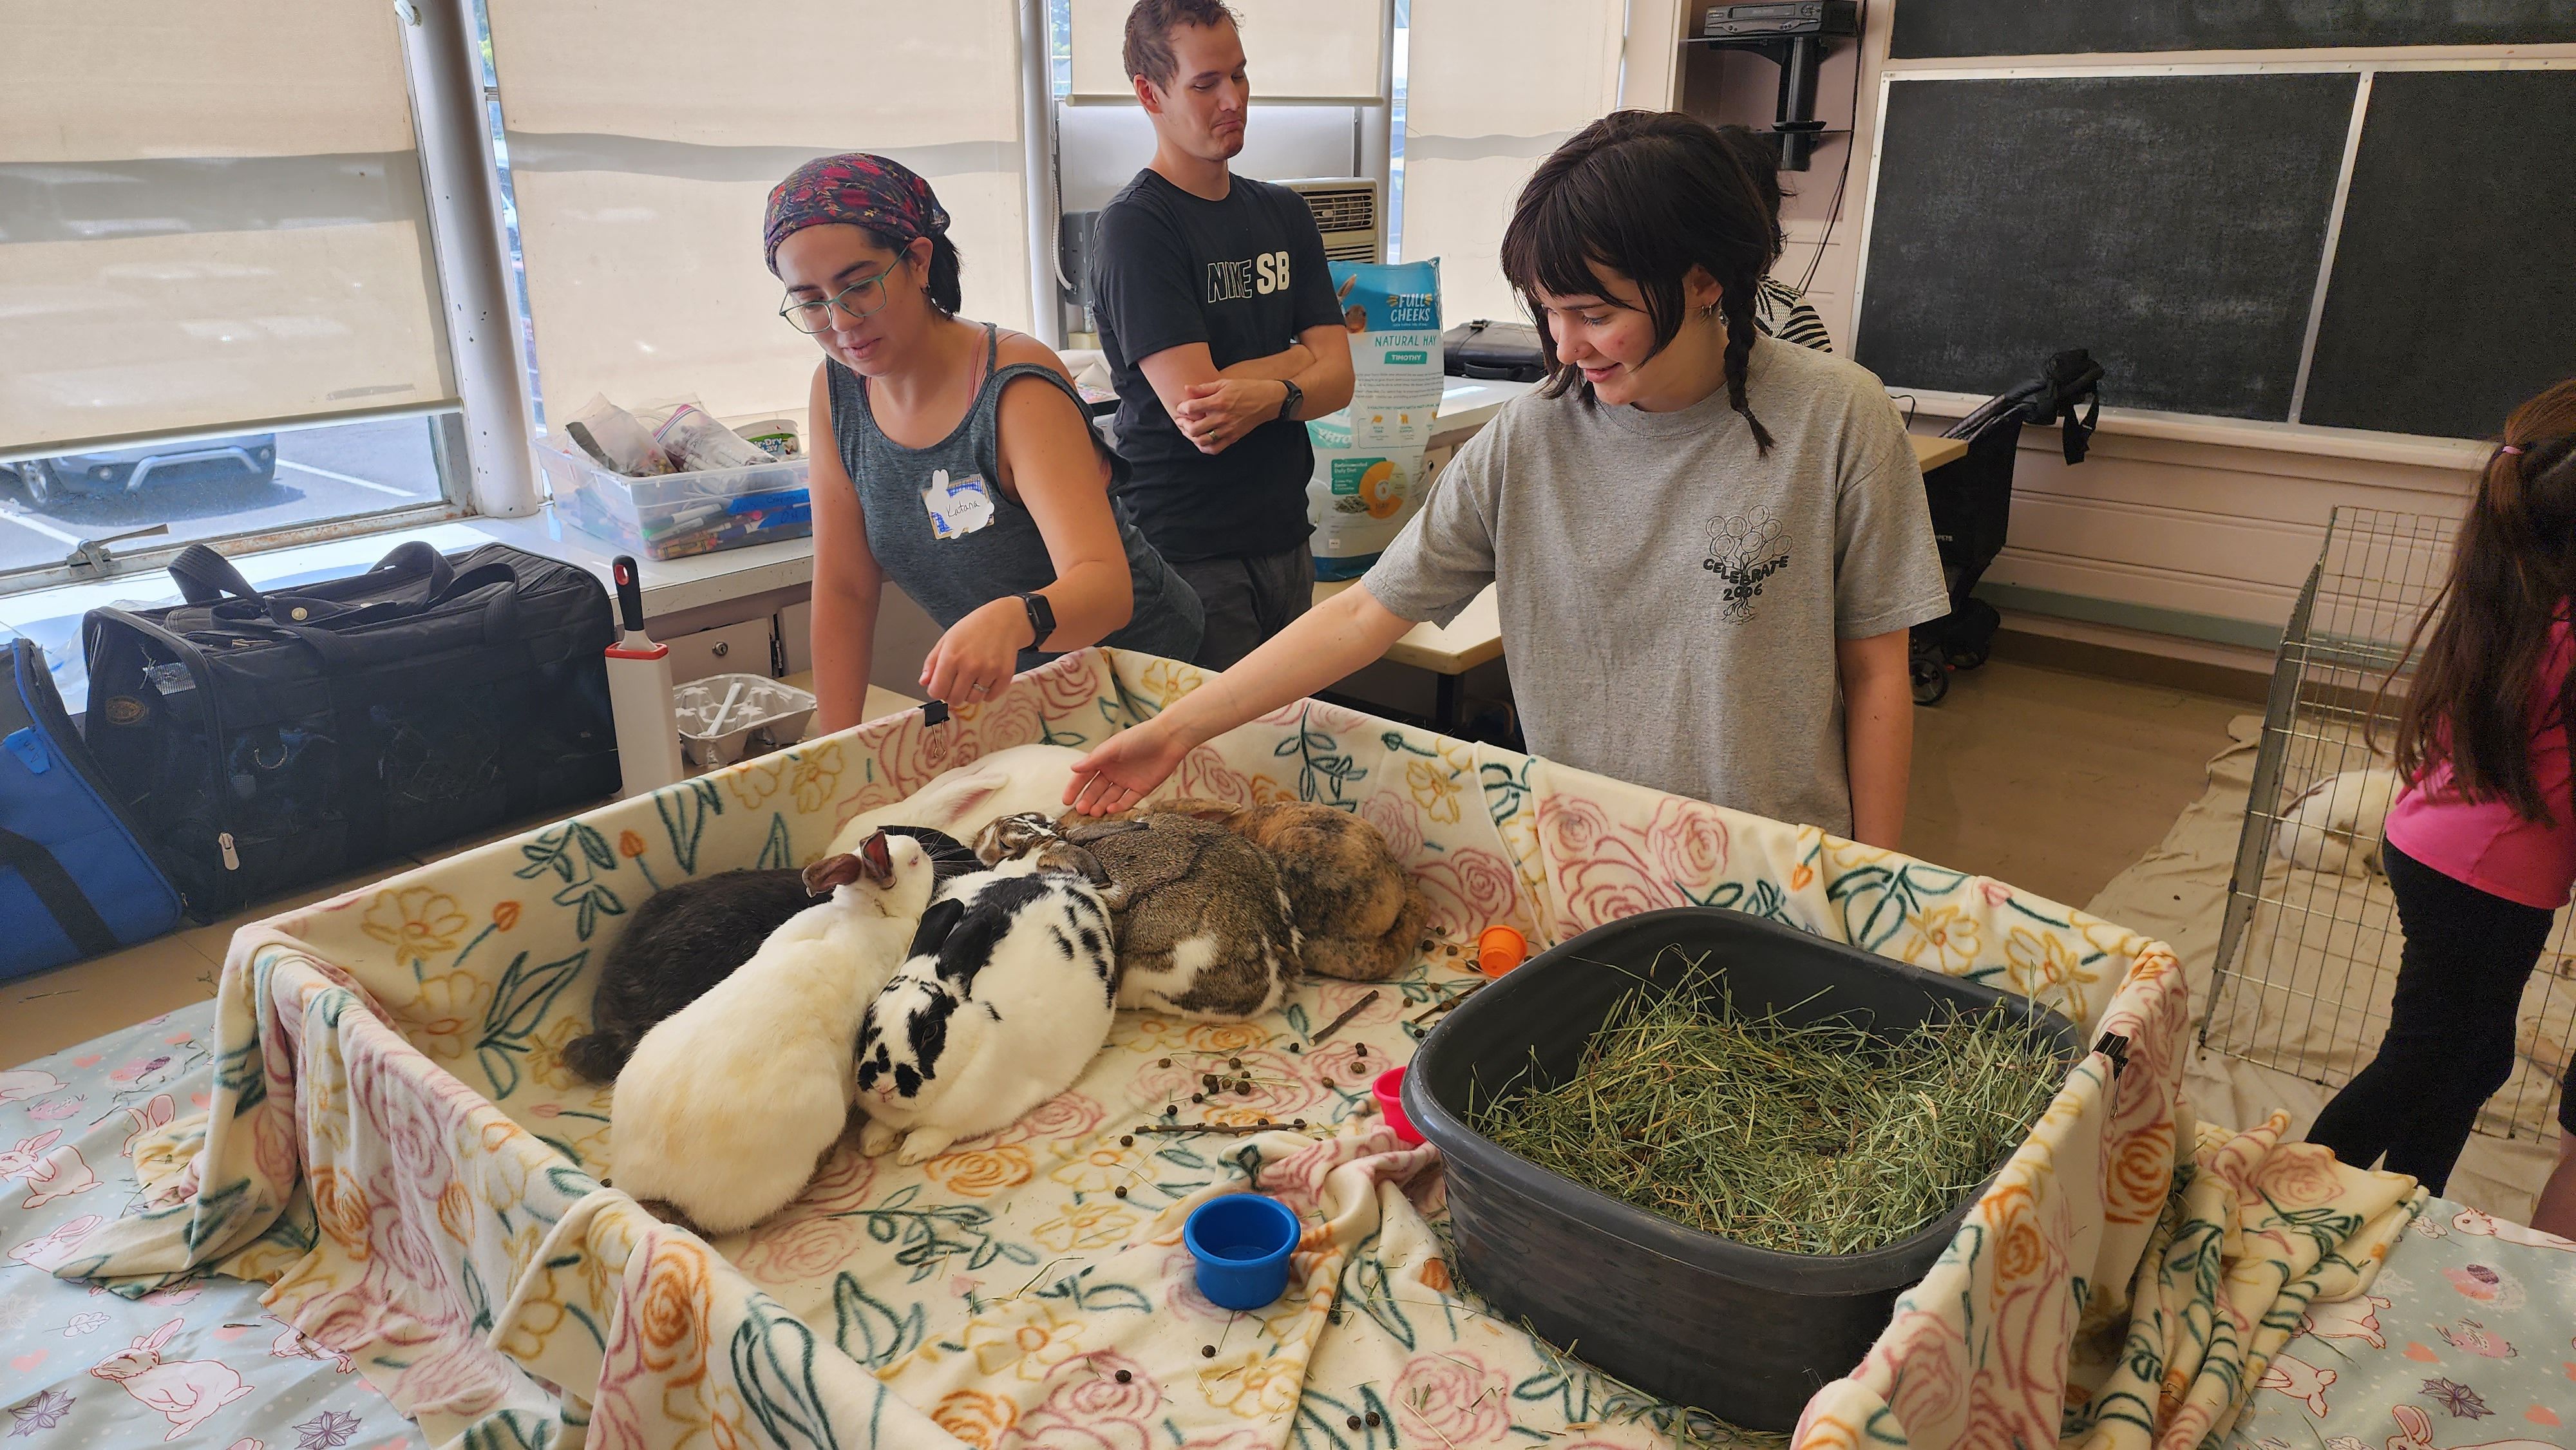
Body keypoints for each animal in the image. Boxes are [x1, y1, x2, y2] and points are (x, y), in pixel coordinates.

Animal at [89, 1317, 255, 1442]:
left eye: (124, 1356)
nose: (94, 1369)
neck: (143, 1375)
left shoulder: (176, 1384)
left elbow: (181, 1394)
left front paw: (190, 1401)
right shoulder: (150, 1400)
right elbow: (167, 1405)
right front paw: (182, 1406)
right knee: (195, 1420)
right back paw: (176, 1433)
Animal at [853, 856, 1119, 1166]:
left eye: (929, 1031)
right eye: (868, 1019)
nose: (883, 1087)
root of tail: (1077, 885)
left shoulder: (973, 1117)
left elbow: (937, 1133)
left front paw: (910, 1153)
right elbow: (882, 1126)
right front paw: (872, 1143)